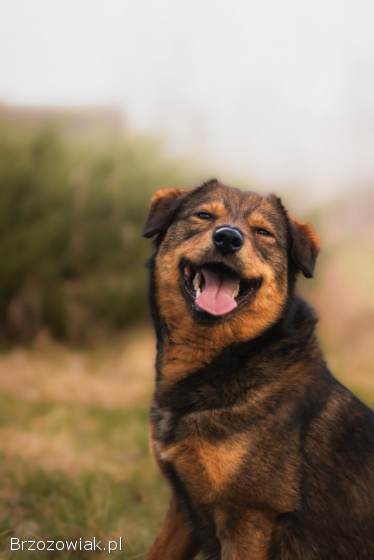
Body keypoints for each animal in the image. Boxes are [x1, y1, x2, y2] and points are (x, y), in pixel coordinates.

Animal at [142, 180, 374, 560]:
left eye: (263, 233)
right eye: (203, 215)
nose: (227, 239)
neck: (235, 358)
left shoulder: (249, 517)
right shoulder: (183, 507)